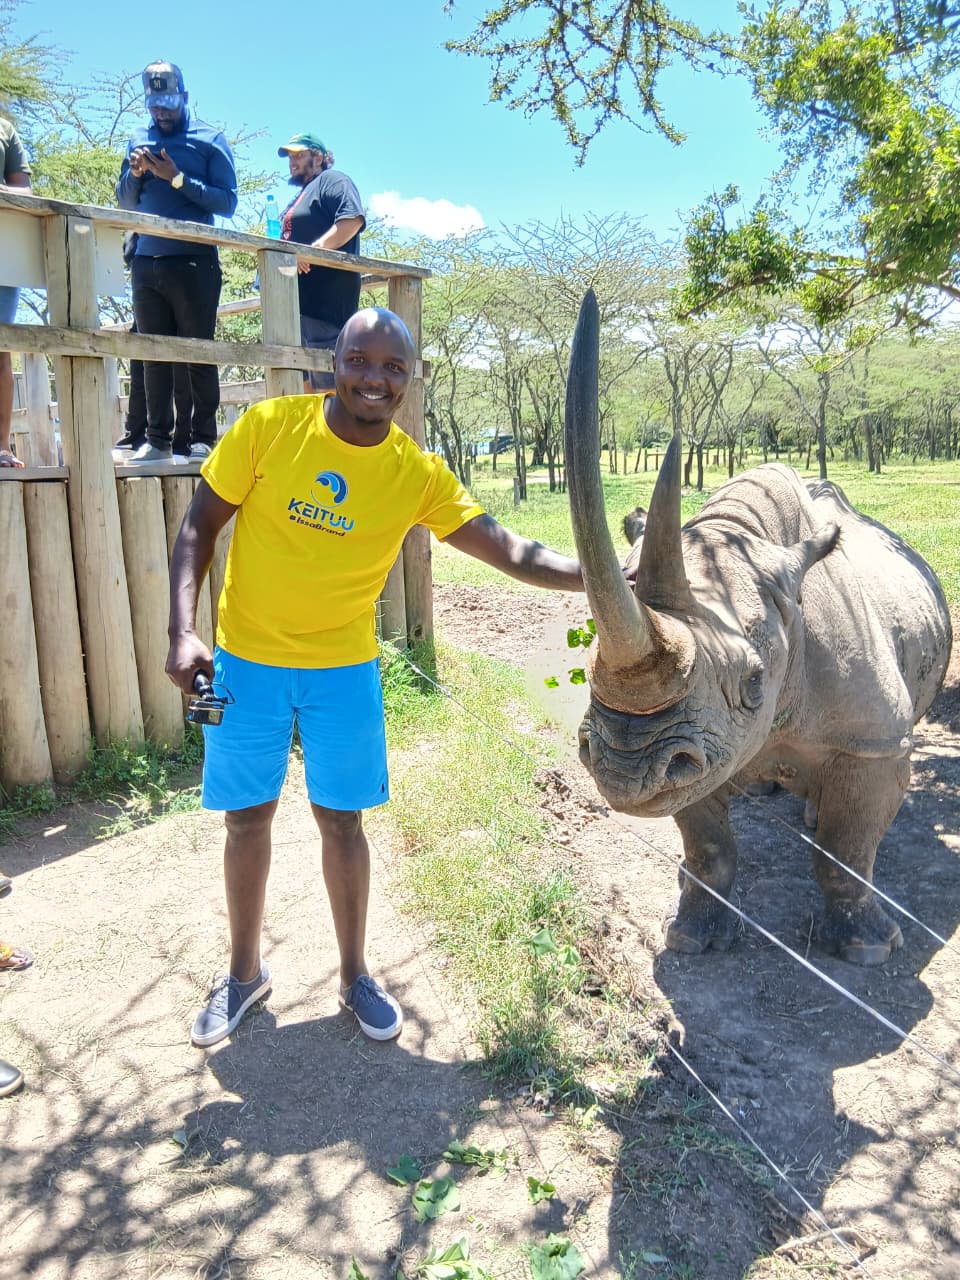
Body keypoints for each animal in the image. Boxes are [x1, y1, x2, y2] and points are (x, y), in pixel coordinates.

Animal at [565, 291, 952, 965]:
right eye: (587, 671)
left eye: (753, 683)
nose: (624, 772)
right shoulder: (696, 749)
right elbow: (709, 848)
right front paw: (692, 936)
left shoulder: (875, 739)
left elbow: (848, 852)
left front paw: (866, 949)